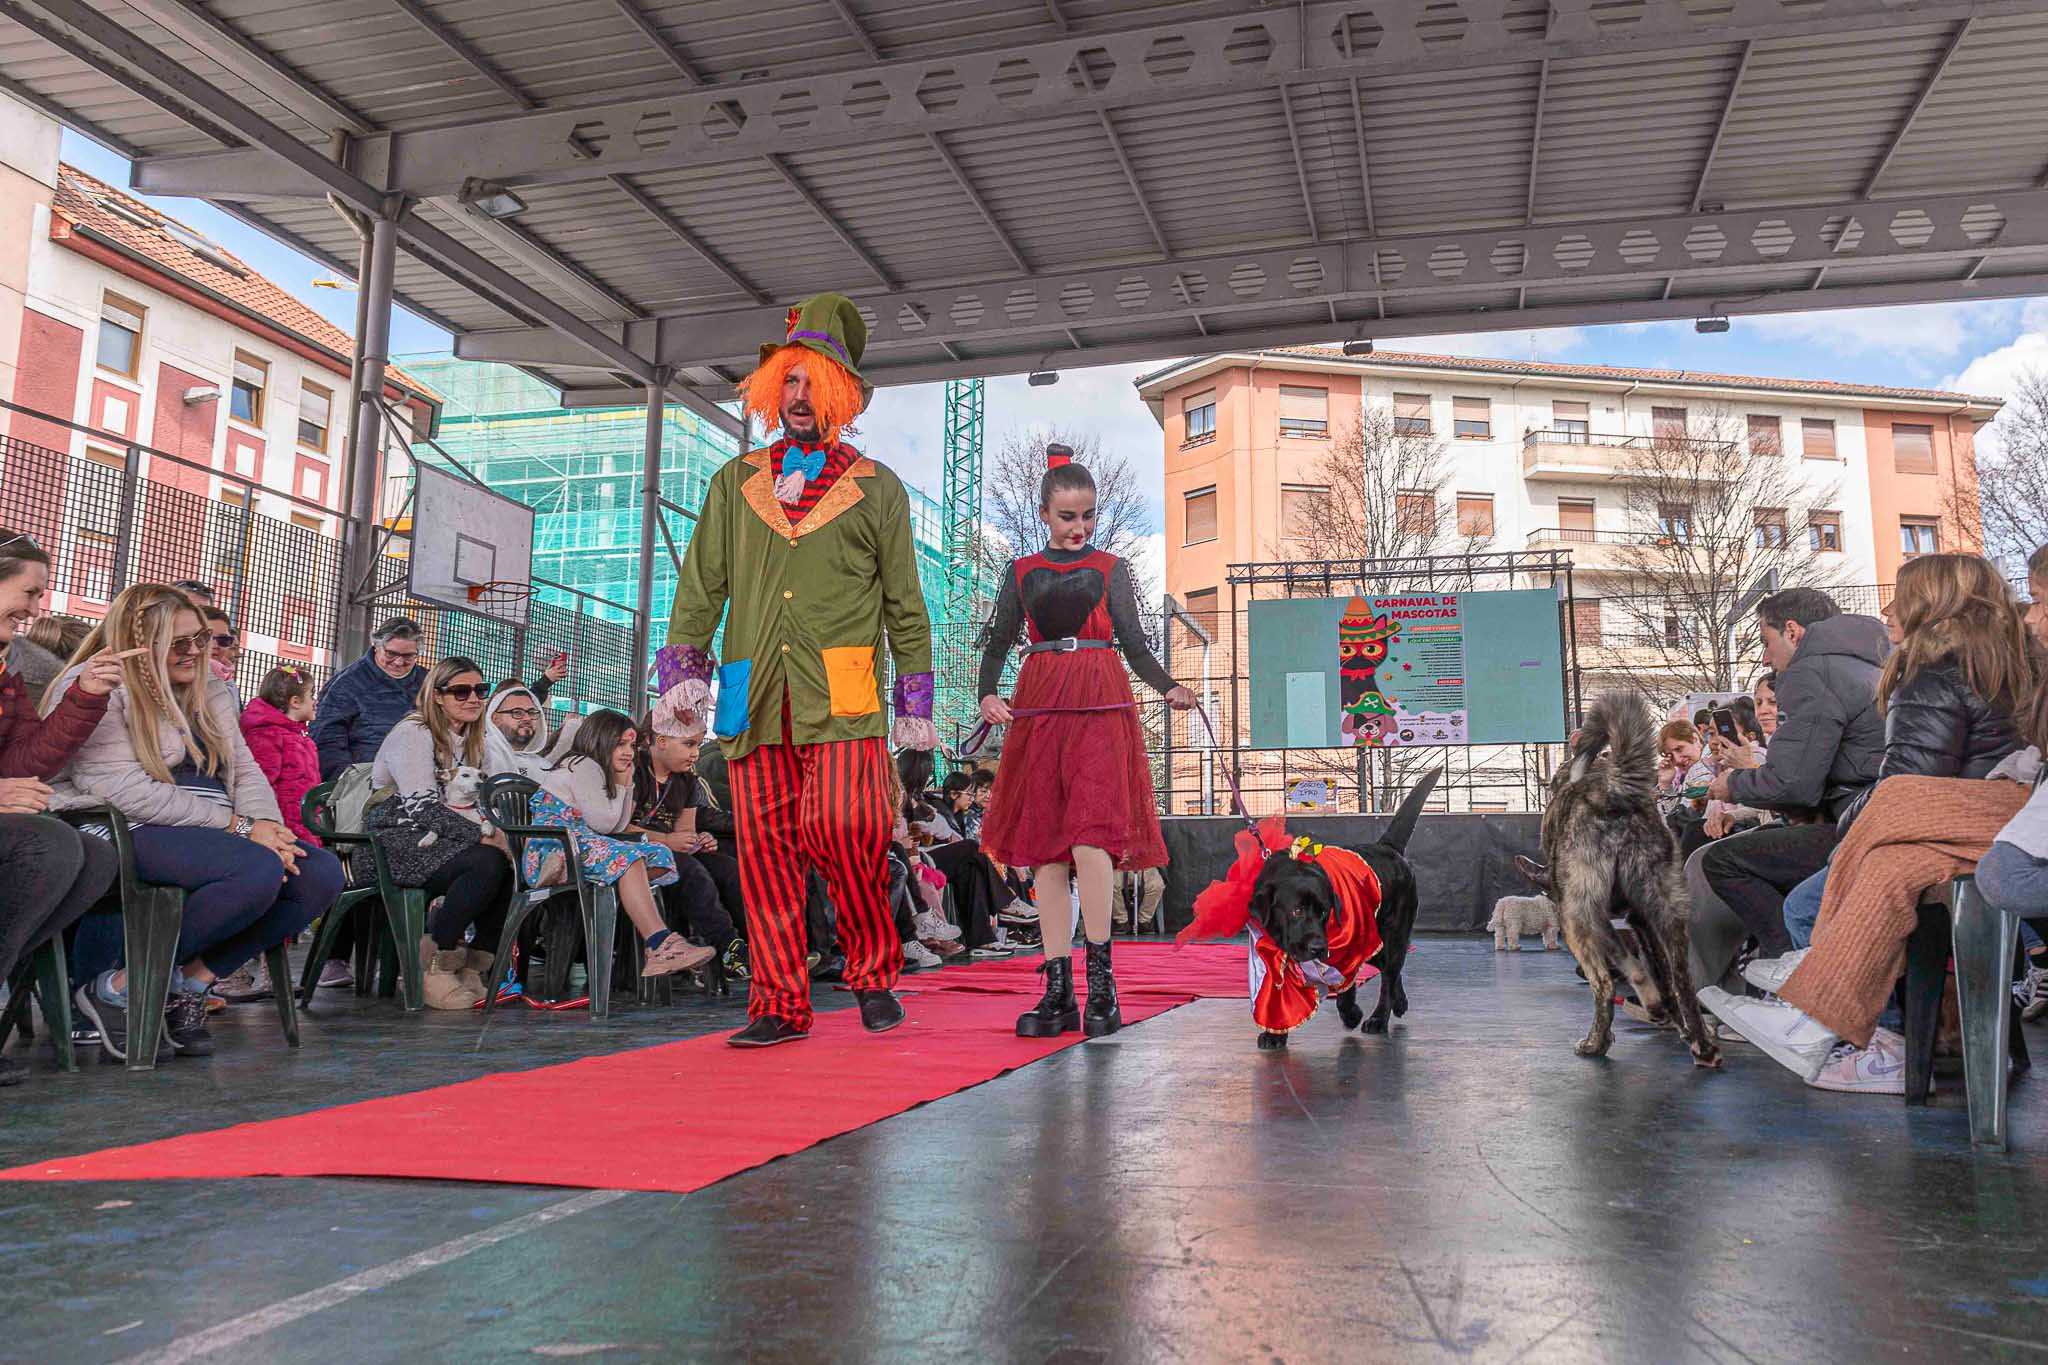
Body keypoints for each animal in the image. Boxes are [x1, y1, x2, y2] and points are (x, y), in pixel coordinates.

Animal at [1236, 773, 1433, 1055]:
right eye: (1296, 910)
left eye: (1324, 912)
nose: (1318, 947)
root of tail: (1387, 847)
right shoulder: (1270, 951)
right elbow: (1277, 997)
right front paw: (1274, 1034)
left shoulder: (1352, 945)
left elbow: (1347, 987)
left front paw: (1351, 1014)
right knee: (1392, 971)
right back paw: (1400, 1002)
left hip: (1391, 935)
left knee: (1388, 975)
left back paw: (1378, 1018)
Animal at [1540, 695, 1720, 1064]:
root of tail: (1612, 792)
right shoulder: (1640, 919)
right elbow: (1657, 972)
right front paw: (1670, 1017)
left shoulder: (1595, 917)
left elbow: (1630, 964)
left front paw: (1654, 1006)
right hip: (1667, 909)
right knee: (1682, 980)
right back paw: (1703, 1044)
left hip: (1574, 918)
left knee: (1604, 986)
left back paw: (1595, 1043)